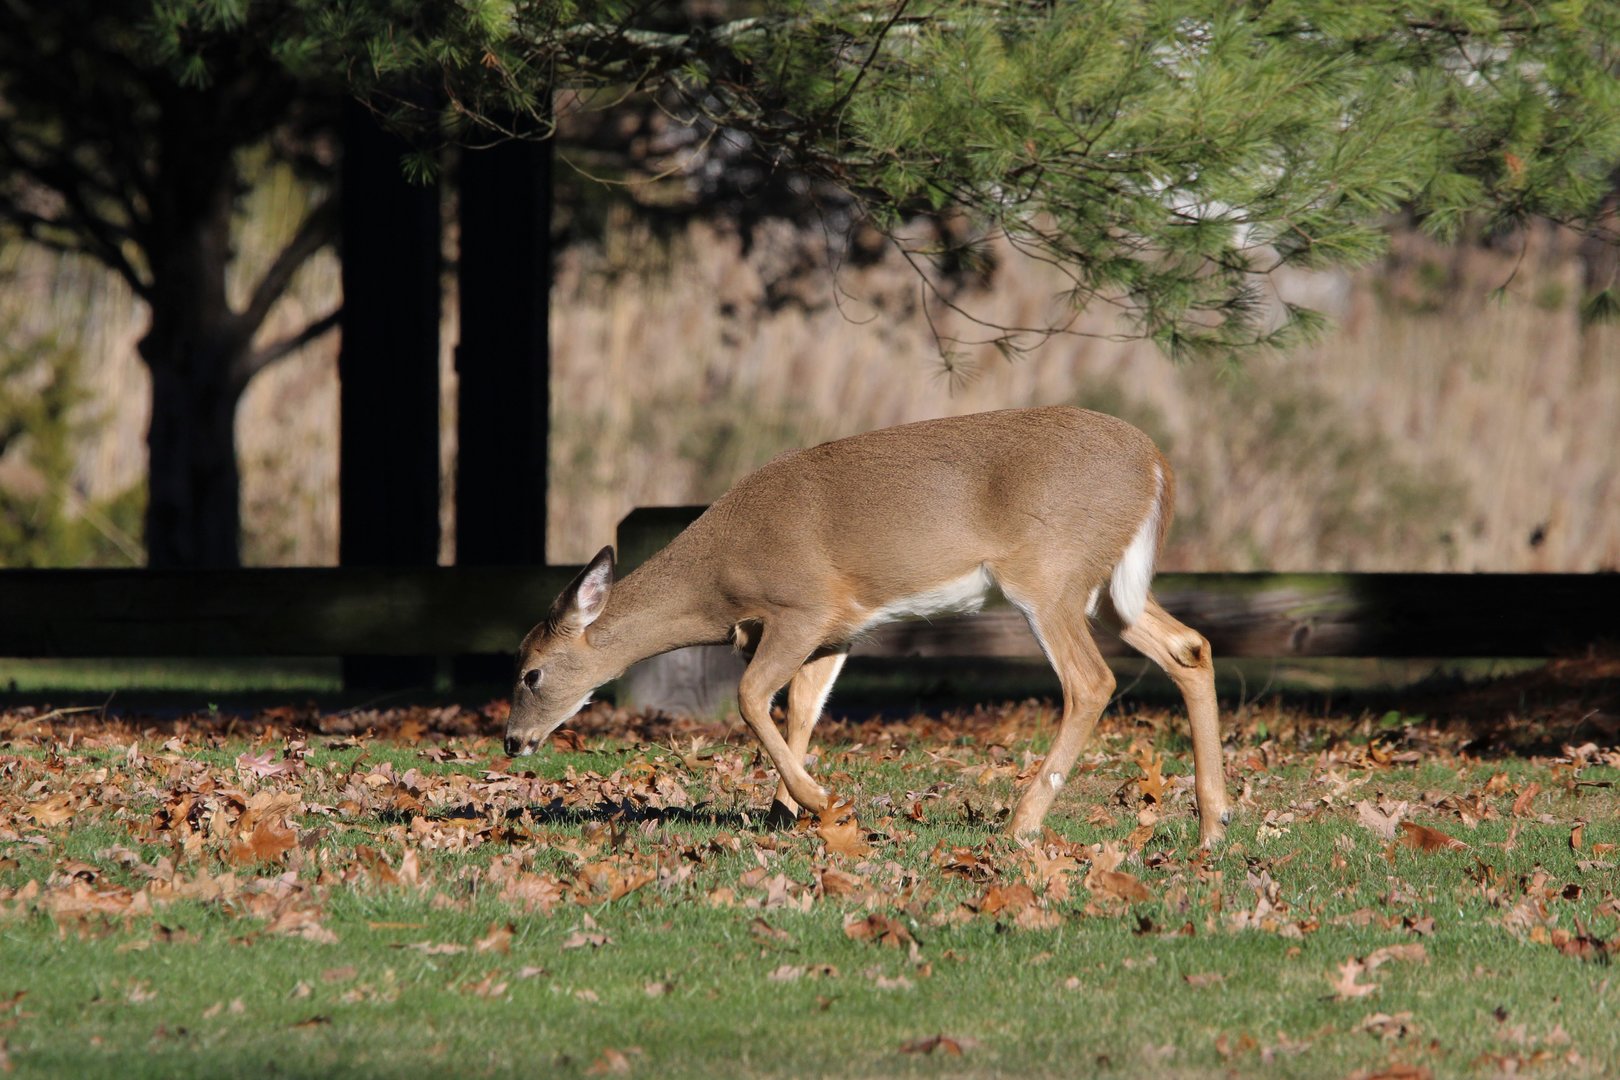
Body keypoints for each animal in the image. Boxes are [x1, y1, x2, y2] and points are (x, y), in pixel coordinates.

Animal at [504, 406, 1231, 846]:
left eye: (530, 672)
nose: (512, 742)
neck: (718, 579)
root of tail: (1157, 465)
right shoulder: (838, 631)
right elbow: (800, 710)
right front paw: (786, 813)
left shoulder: (800, 608)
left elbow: (750, 698)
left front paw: (818, 802)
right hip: (1108, 589)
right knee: (1189, 647)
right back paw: (1214, 823)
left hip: (1049, 575)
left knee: (1091, 681)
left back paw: (1022, 825)